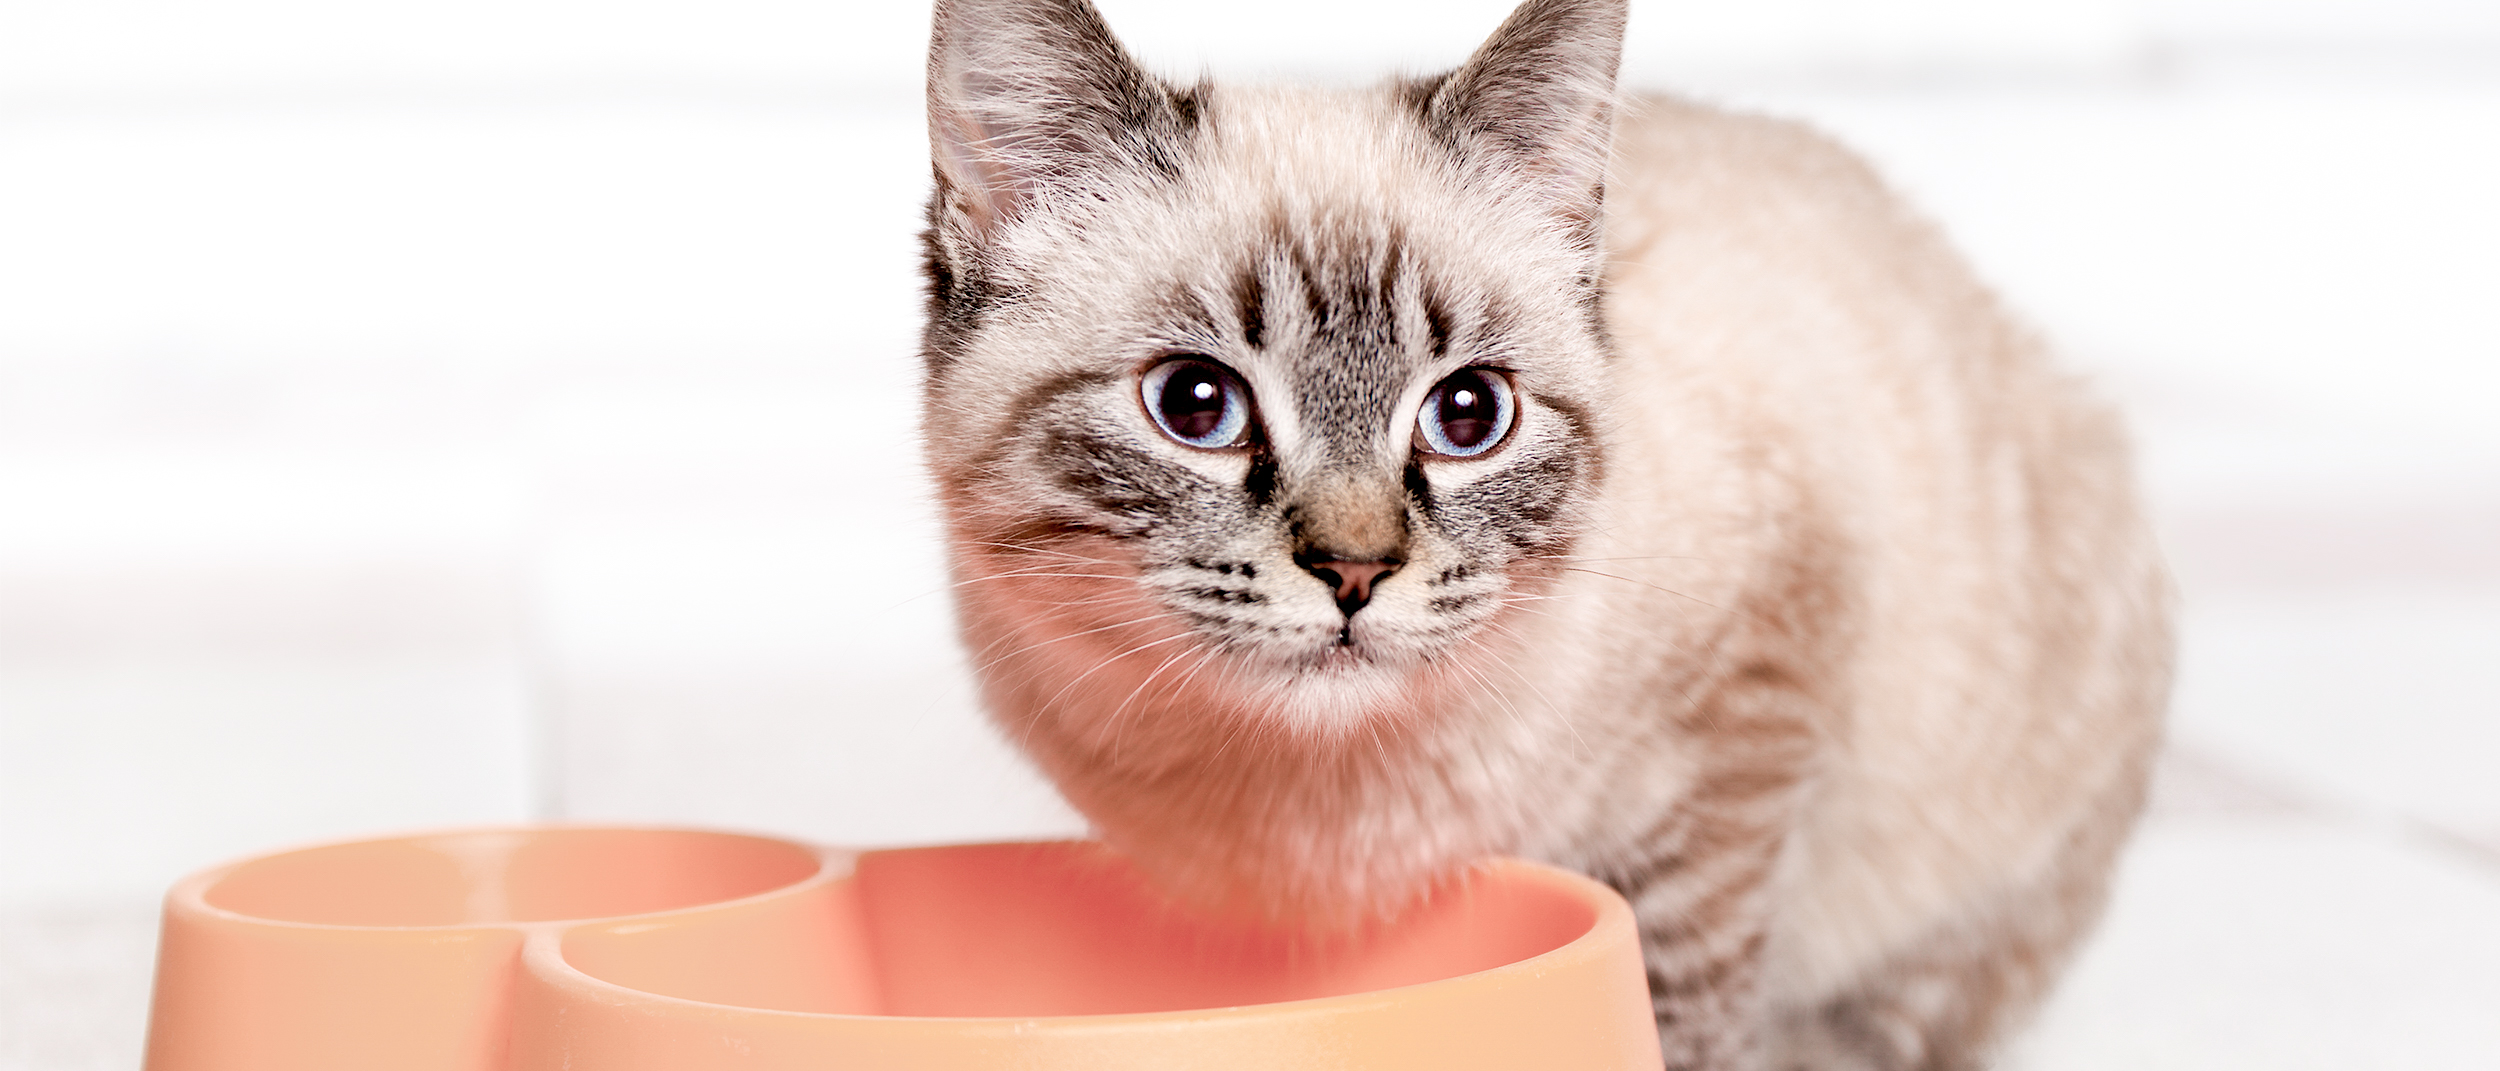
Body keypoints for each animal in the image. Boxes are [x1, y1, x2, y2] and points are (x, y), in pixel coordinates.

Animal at [915, 2, 2170, 1060]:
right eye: (1194, 406)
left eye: (1468, 414)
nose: (1355, 572)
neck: (1307, 799)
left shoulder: (1738, 740)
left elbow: (1681, 1010)